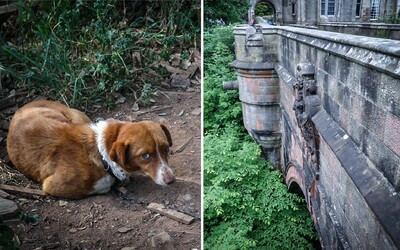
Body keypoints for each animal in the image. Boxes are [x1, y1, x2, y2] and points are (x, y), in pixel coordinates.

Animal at [5, 99, 175, 199]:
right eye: (145, 155)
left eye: (166, 148)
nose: (171, 180)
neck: (101, 153)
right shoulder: (52, 185)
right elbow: (103, 185)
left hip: (77, 117)